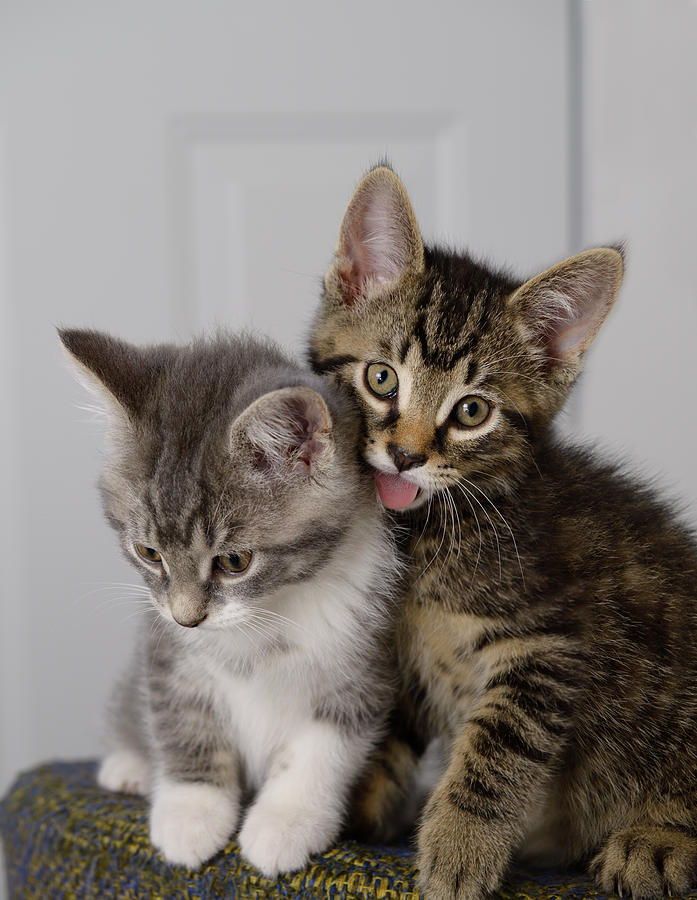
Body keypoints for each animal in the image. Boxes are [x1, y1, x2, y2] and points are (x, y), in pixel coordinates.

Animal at [59, 328, 396, 872]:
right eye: (149, 553)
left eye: (234, 561)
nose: (189, 618)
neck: (270, 610)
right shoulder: (167, 648)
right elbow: (182, 719)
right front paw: (190, 814)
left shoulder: (367, 652)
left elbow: (323, 747)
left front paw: (286, 823)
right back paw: (129, 765)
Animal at [310, 163, 697, 900]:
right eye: (381, 378)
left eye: (471, 412)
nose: (404, 454)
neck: (425, 536)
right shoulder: (397, 648)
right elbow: (385, 722)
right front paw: (354, 802)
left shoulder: (550, 642)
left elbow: (499, 745)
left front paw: (459, 849)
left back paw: (656, 840)